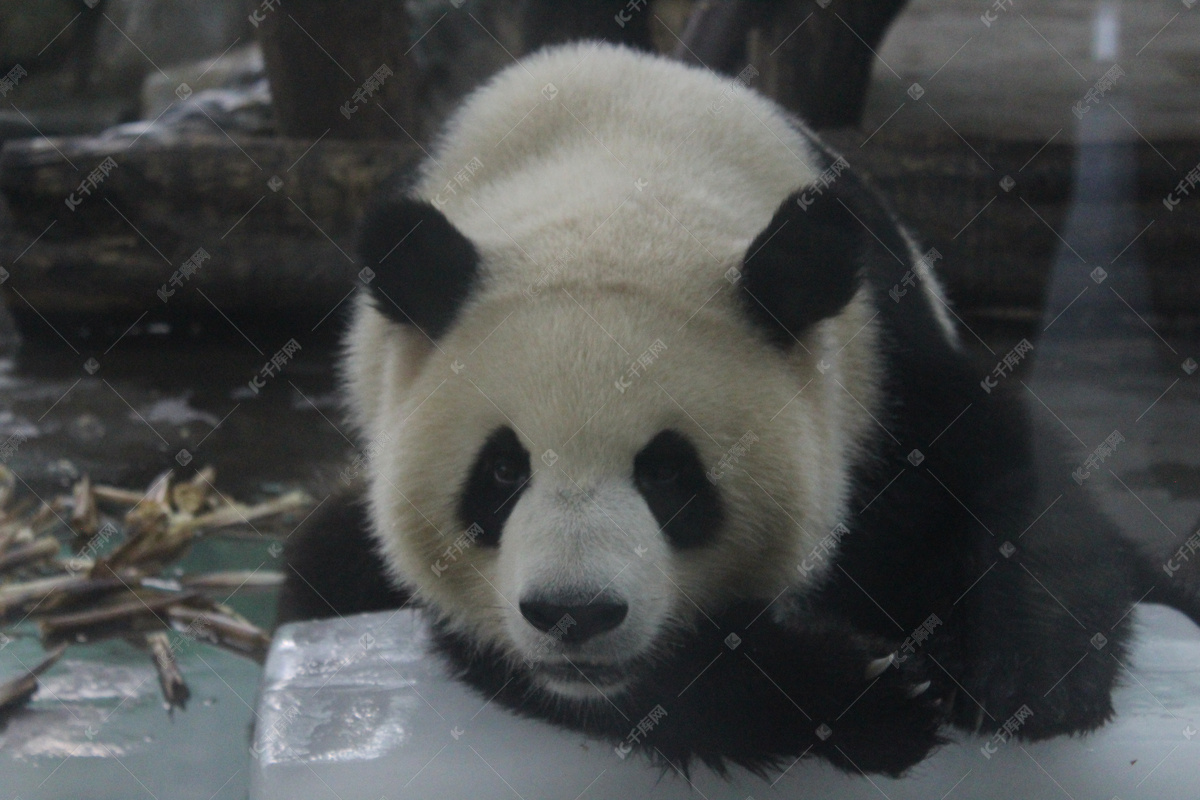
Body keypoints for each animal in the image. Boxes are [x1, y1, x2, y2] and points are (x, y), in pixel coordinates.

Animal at [276, 42, 1200, 777]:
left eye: (668, 472)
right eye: (502, 471)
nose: (575, 613)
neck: (618, 170)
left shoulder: (876, 368)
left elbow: (999, 475)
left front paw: (1021, 669)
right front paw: (864, 698)